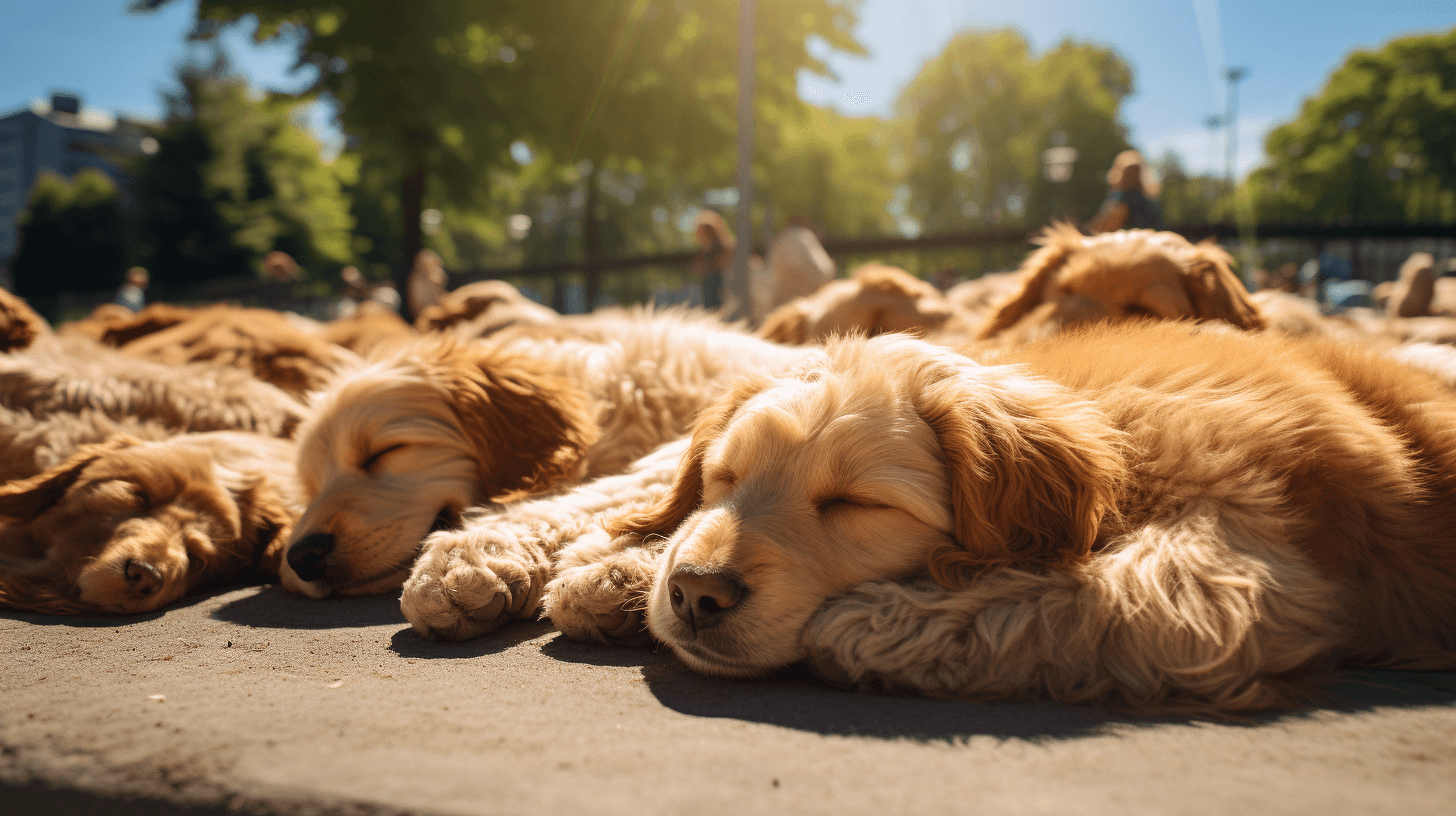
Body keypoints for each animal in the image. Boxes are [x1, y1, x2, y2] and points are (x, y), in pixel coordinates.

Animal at [544, 322, 1456, 711]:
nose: (696, 594)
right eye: (722, 478)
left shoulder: (1235, 574)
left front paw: (880, 622)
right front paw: (617, 570)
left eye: (854, 504)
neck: (1114, 438)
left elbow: (1081, 593)